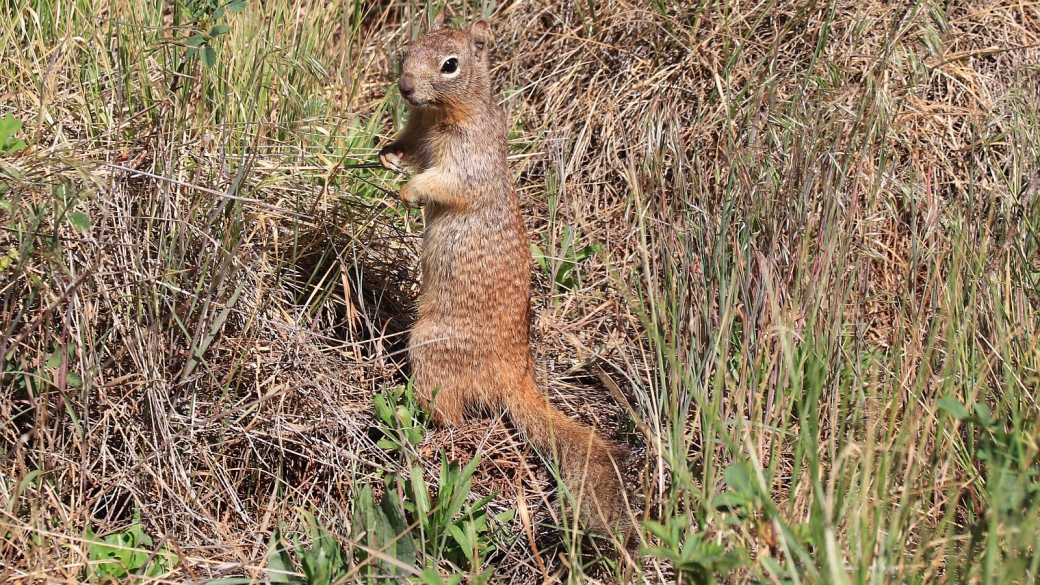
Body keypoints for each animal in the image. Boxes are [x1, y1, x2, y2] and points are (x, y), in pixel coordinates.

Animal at [380, 14, 628, 532]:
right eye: (407, 50)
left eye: (450, 65)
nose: (405, 86)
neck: (438, 114)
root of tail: (517, 373)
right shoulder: (417, 129)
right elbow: (408, 146)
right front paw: (387, 154)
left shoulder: (467, 159)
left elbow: (442, 182)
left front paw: (408, 190)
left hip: (430, 346)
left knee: (451, 414)